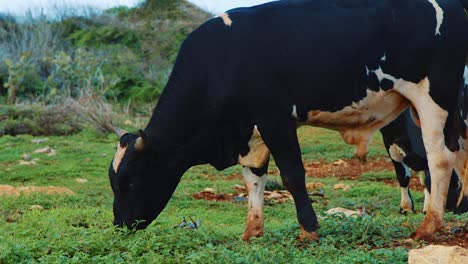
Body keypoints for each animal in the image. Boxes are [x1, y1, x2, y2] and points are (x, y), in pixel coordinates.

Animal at [109, 0, 468, 241]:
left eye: (130, 180)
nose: (120, 225)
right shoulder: (250, 133)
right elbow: (253, 179)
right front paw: (252, 231)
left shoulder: (276, 119)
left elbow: (293, 175)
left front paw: (309, 230)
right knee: (460, 154)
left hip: (433, 99)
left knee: (439, 159)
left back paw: (429, 225)